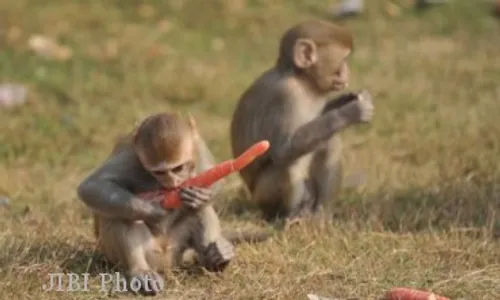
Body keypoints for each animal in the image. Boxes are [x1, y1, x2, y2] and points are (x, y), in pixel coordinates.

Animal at [77, 112, 270, 296]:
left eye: (177, 168)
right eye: (160, 172)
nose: (172, 182)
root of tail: (165, 261)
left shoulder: (196, 145)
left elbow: (212, 175)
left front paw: (199, 195)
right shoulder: (129, 158)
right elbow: (93, 186)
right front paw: (154, 209)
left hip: (177, 250)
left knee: (198, 210)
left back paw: (216, 258)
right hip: (131, 254)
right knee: (121, 215)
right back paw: (140, 271)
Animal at [229, 18, 374, 224]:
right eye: (344, 60)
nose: (348, 72)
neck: (303, 81)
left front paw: (347, 99)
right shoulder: (286, 97)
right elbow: (283, 150)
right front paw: (350, 112)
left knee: (330, 143)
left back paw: (320, 213)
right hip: (263, 197)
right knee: (289, 167)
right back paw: (288, 217)